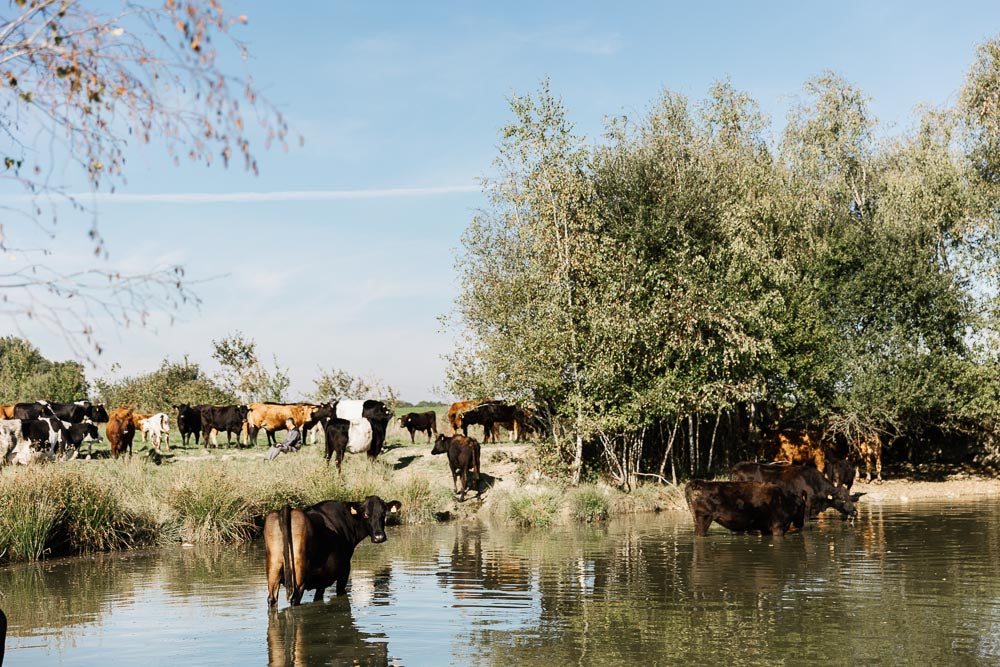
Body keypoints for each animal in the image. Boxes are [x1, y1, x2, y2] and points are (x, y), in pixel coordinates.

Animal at [264, 496, 402, 606]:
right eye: (366, 514)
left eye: (383, 513)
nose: (379, 537)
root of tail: (289, 510)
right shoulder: (343, 571)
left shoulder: (321, 581)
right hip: (299, 580)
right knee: (294, 600)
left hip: (273, 573)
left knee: (271, 599)